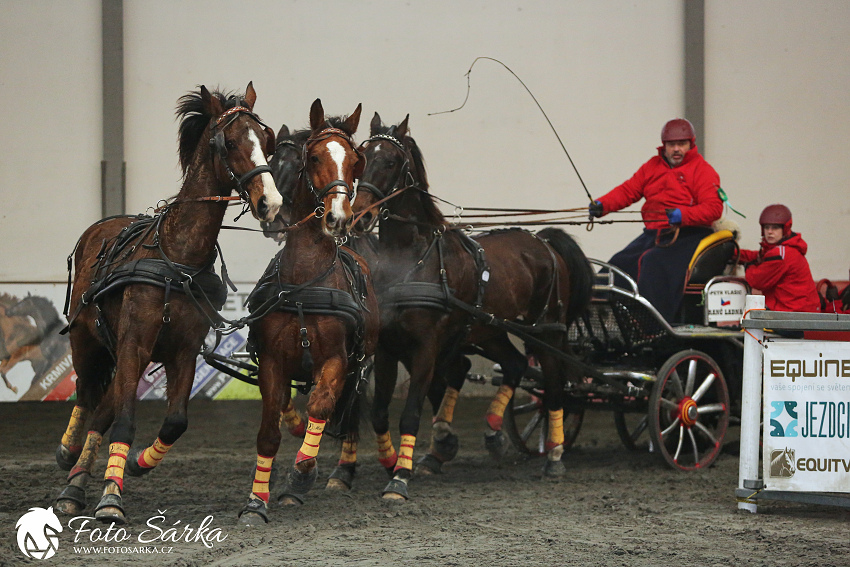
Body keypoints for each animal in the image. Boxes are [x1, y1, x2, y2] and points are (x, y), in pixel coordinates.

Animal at [54, 81, 280, 524]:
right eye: (230, 142)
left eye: (267, 141)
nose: (271, 203)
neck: (177, 258)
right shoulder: (134, 345)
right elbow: (125, 421)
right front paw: (111, 498)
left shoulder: (183, 352)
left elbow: (175, 421)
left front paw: (138, 463)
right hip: (87, 341)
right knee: (89, 398)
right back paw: (68, 460)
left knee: (102, 410)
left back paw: (76, 482)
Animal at [234, 100, 376, 524]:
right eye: (313, 157)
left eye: (356, 161)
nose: (339, 217)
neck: (305, 284)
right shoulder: (272, 362)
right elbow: (270, 430)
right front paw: (256, 502)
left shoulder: (336, 361)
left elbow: (321, 406)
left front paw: (300, 477)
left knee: (345, 413)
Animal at [348, 113, 592, 500]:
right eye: (361, 159)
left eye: (391, 162)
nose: (359, 216)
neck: (411, 258)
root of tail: (543, 240)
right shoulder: (388, 348)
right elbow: (380, 413)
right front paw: (403, 460)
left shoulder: (426, 348)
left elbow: (411, 413)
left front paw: (399, 479)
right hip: (490, 329)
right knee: (515, 363)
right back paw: (492, 431)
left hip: (546, 330)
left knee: (553, 384)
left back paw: (554, 455)